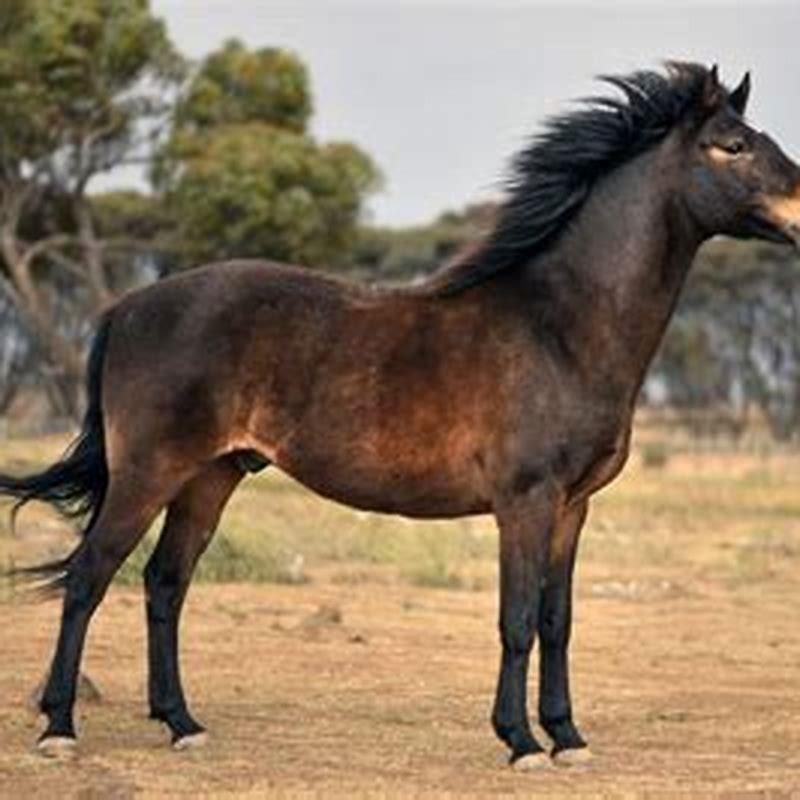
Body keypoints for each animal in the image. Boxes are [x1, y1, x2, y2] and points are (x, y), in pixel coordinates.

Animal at [2, 62, 799, 768]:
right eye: (731, 144)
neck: (560, 325)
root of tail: (128, 306)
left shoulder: (573, 507)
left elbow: (557, 620)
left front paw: (568, 738)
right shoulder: (526, 501)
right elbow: (516, 620)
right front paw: (520, 742)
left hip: (211, 476)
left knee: (165, 584)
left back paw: (183, 725)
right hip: (148, 473)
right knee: (89, 578)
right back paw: (60, 729)